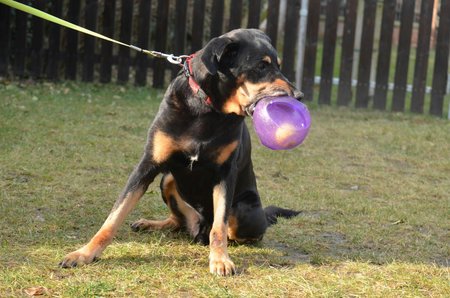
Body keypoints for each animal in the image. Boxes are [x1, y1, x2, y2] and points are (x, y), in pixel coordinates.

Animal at [59, 29, 304, 276]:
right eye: (261, 66)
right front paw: (84, 253)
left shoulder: (226, 173)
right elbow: (114, 216)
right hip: (167, 180)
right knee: (178, 221)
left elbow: (220, 226)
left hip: (244, 210)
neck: (207, 108)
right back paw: (152, 224)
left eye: (278, 65)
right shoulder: (147, 165)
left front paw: (220, 260)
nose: (299, 95)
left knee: (226, 229)